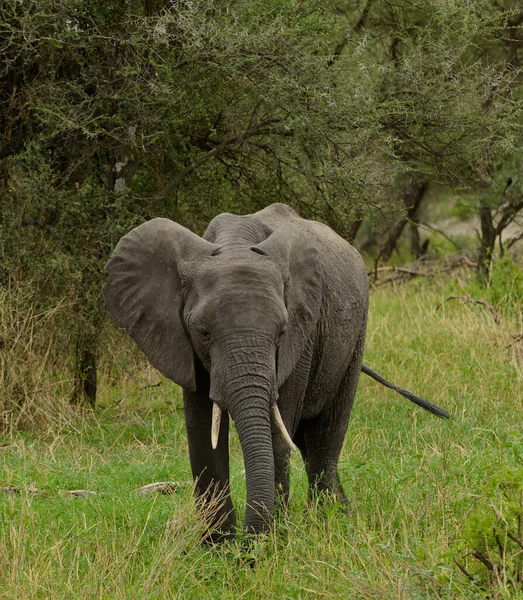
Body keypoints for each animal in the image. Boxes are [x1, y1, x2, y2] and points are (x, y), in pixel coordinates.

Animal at [103, 202, 450, 540]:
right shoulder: (182, 343)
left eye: (281, 332)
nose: (246, 541)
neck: (236, 244)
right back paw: (339, 514)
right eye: (203, 332)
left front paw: (270, 542)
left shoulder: (302, 333)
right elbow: (202, 435)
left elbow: (275, 433)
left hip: (355, 335)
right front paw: (218, 547)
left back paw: (329, 522)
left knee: (326, 435)